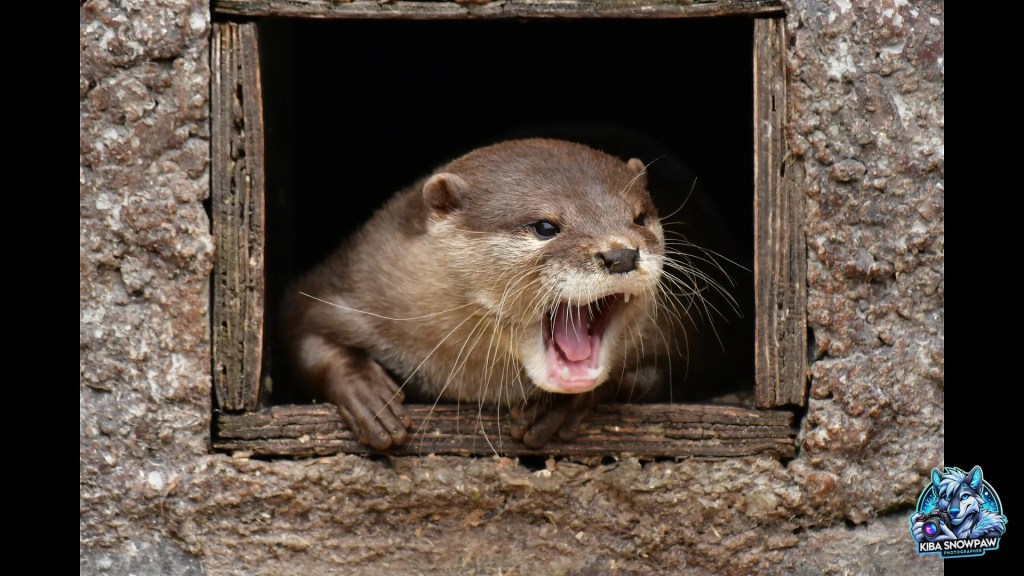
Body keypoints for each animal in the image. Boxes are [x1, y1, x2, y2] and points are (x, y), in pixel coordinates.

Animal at [281, 139, 700, 449]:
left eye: (640, 218)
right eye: (545, 226)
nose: (621, 253)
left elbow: (650, 376)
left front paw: (559, 408)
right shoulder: (352, 278)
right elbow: (303, 335)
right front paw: (367, 394)